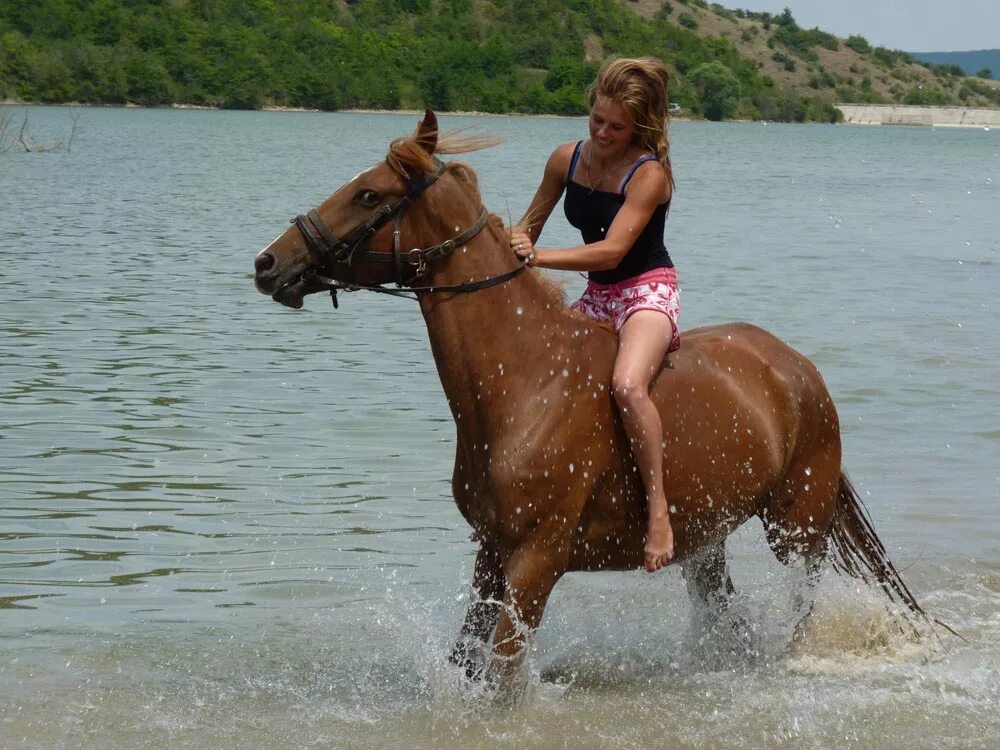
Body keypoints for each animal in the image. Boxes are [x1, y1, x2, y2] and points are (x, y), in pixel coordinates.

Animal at [254, 111, 924, 700]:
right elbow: (469, 660)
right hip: (706, 539)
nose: (267, 263)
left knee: (802, 602)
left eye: (368, 194)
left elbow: (501, 674)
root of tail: (798, 368)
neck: (524, 382)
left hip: (796, 528)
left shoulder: (538, 558)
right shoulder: (493, 551)